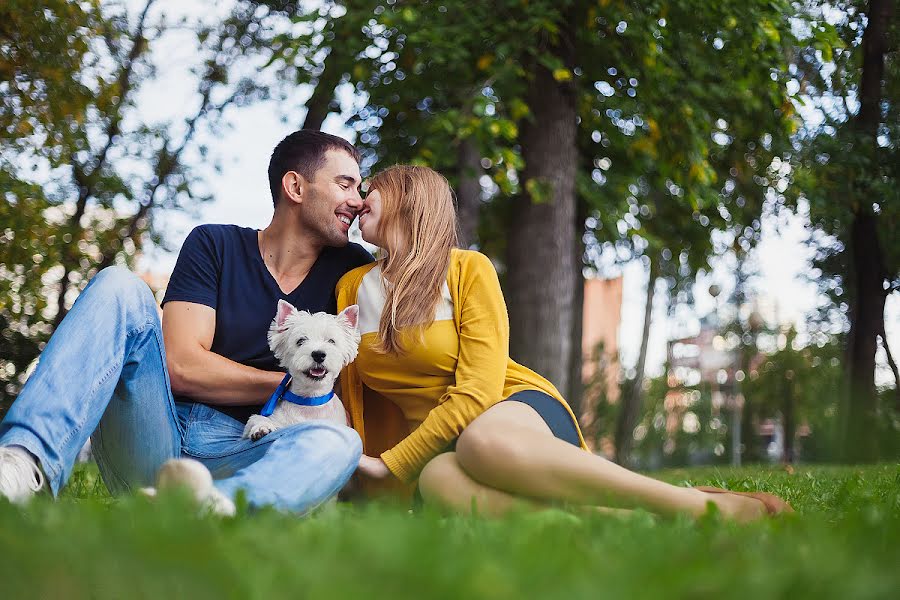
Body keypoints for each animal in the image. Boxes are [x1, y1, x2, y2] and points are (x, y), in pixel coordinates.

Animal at [246, 302, 362, 438]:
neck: (310, 401)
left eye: (331, 341)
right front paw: (262, 428)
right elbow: (256, 419)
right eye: (300, 341)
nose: (318, 354)